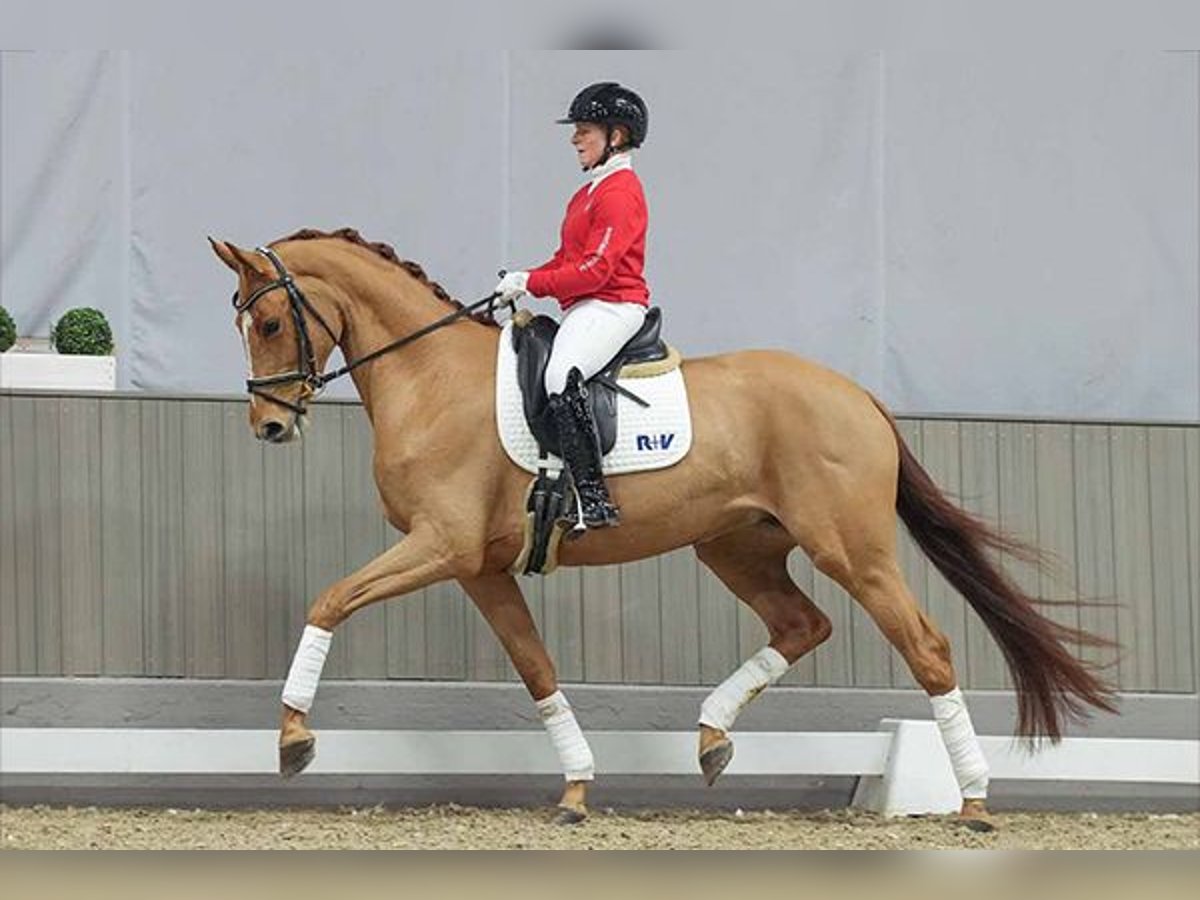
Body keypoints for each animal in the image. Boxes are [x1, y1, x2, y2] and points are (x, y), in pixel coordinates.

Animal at [208, 229, 1113, 830]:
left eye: (270, 324)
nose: (268, 427)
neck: (428, 377)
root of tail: (857, 394)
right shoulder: (479, 567)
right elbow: (536, 668)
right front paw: (576, 788)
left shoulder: (441, 546)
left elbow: (329, 599)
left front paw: (293, 737)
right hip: (736, 545)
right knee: (802, 624)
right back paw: (711, 738)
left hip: (850, 549)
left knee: (925, 645)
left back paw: (975, 799)